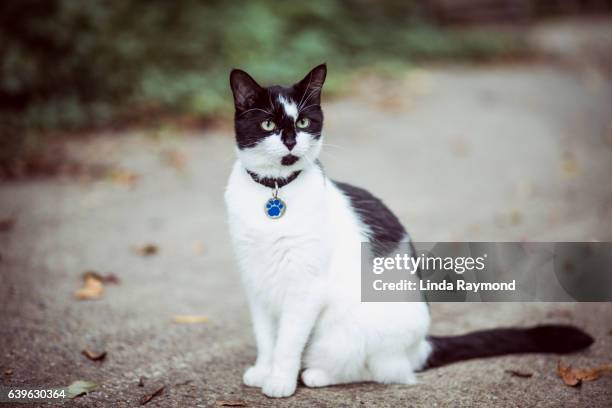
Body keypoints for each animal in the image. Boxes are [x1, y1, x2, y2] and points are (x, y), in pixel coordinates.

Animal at [225, 64, 592, 398]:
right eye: (268, 124)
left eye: (302, 122)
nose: (290, 142)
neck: (274, 193)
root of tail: (420, 344)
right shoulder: (256, 282)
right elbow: (266, 338)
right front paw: (263, 370)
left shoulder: (305, 288)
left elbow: (288, 341)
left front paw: (280, 380)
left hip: (344, 334)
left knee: (380, 369)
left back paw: (317, 374)